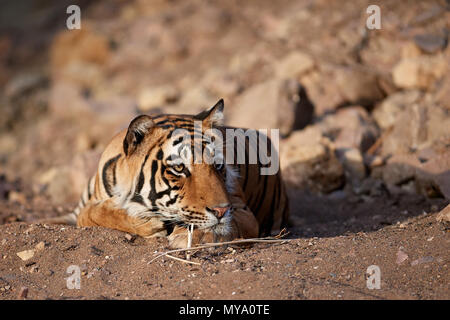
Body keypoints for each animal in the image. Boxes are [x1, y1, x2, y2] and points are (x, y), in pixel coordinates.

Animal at [48, 99, 288, 248]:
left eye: (218, 165)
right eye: (179, 168)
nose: (220, 210)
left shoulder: (242, 210)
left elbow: (225, 224)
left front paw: (196, 236)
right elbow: (89, 213)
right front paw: (148, 222)